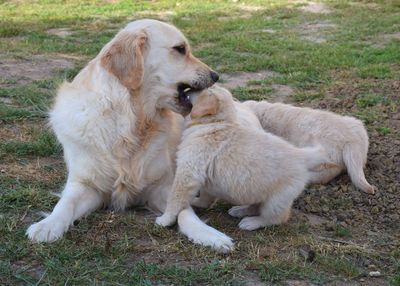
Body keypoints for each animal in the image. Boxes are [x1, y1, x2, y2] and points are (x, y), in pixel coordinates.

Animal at [26, 19, 238, 251]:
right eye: (180, 49)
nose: (215, 76)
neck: (131, 123)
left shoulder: (161, 187)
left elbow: (183, 210)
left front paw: (209, 234)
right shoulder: (86, 183)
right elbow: (66, 203)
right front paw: (47, 225)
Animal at [156, 86, 334, 231]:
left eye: (198, 91)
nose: (187, 89)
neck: (215, 123)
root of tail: (301, 155)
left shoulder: (188, 173)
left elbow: (175, 198)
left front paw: (165, 219)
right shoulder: (204, 178)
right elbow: (206, 198)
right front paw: (196, 202)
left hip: (278, 199)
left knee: (276, 217)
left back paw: (252, 222)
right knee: (257, 204)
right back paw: (241, 210)